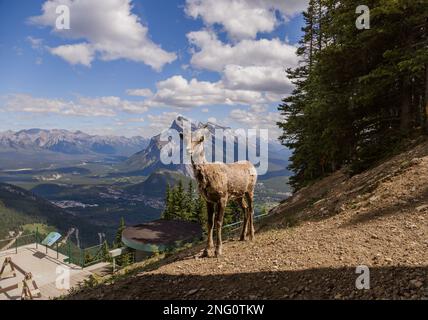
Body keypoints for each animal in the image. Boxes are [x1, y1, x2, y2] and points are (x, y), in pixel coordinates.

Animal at [181, 125, 258, 258]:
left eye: (199, 140)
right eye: (185, 140)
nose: (188, 150)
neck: (206, 177)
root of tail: (252, 166)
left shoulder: (222, 198)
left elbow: (219, 222)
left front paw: (218, 250)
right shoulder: (208, 200)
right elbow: (209, 223)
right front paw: (206, 250)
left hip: (250, 190)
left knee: (251, 209)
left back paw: (251, 236)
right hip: (238, 195)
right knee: (245, 209)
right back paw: (242, 236)